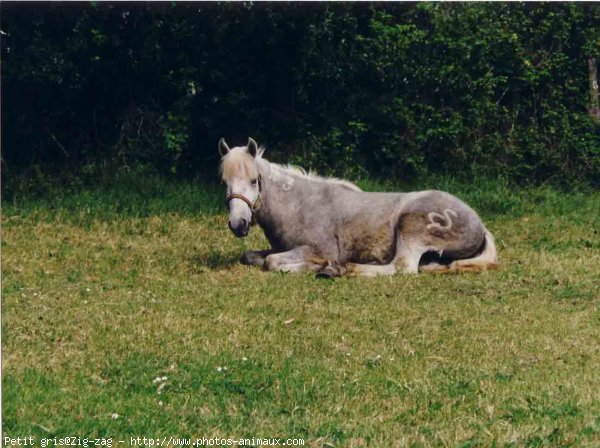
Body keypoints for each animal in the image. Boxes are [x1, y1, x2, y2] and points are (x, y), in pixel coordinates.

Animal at [220, 137, 496, 276]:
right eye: (225, 182)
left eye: (254, 181)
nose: (237, 224)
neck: (298, 205)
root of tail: (479, 224)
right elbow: (252, 256)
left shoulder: (317, 249)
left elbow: (272, 262)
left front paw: (319, 266)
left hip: (411, 229)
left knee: (402, 268)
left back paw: (343, 268)